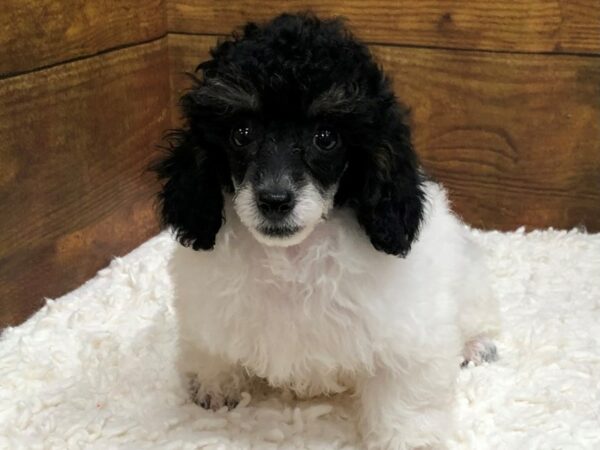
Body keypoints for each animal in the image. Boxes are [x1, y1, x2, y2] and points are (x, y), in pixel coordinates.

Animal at [152, 13, 500, 450]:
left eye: (326, 138)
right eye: (242, 133)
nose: (275, 199)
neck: (290, 258)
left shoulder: (408, 338)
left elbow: (405, 401)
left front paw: (410, 439)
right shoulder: (208, 309)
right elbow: (209, 346)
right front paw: (214, 383)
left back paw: (476, 344)